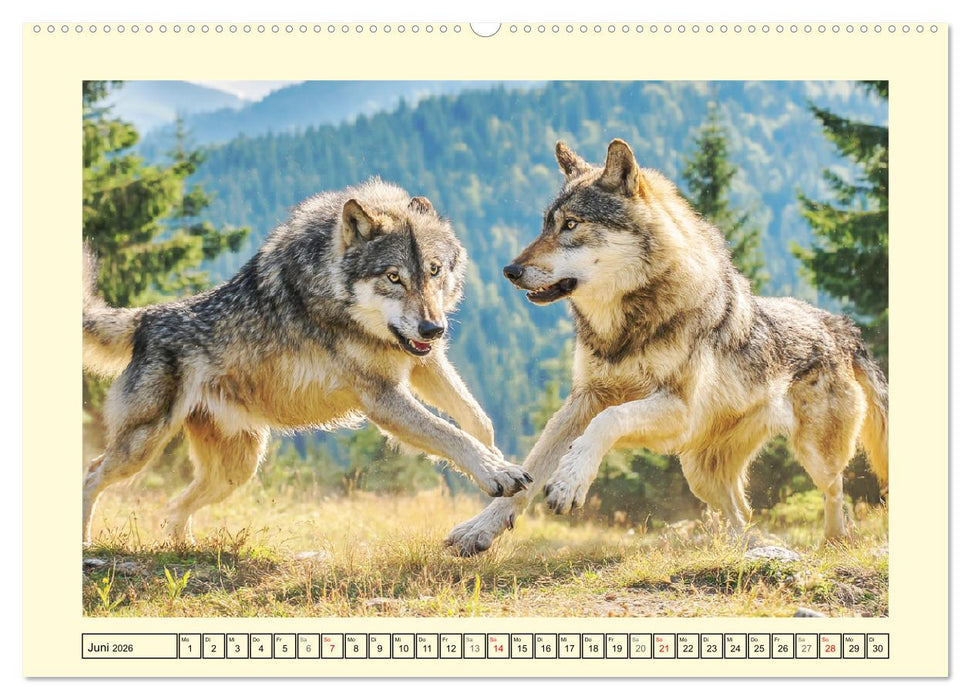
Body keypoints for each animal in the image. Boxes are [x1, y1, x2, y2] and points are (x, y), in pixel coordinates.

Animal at [82, 178, 531, 544]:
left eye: (434, 271)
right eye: (393, 277)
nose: (433, 328)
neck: (333, 290)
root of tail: (145, 317)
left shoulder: (423, 362)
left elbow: (476, 421)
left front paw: (496, 461)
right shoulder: (383, 397)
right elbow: (450, 434)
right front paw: (495, 471)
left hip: (236, 470)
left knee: (174, 506)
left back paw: (184, 549)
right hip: (143, 447)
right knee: (91, 473)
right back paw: (87, 546)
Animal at [445, 139, 888, 555]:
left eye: (571, 224)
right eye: (545, 226)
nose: (510, 270)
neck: (624, 329)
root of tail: (838, 325)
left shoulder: (677, 411)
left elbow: (608, 422)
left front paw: (570, 482)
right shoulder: (585, 399)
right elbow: (532, 466)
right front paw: (480, 528)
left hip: (815, 455)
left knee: (836, 491)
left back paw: (832, 541)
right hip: (699, 472)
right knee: (742, 512)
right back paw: (744, 548)